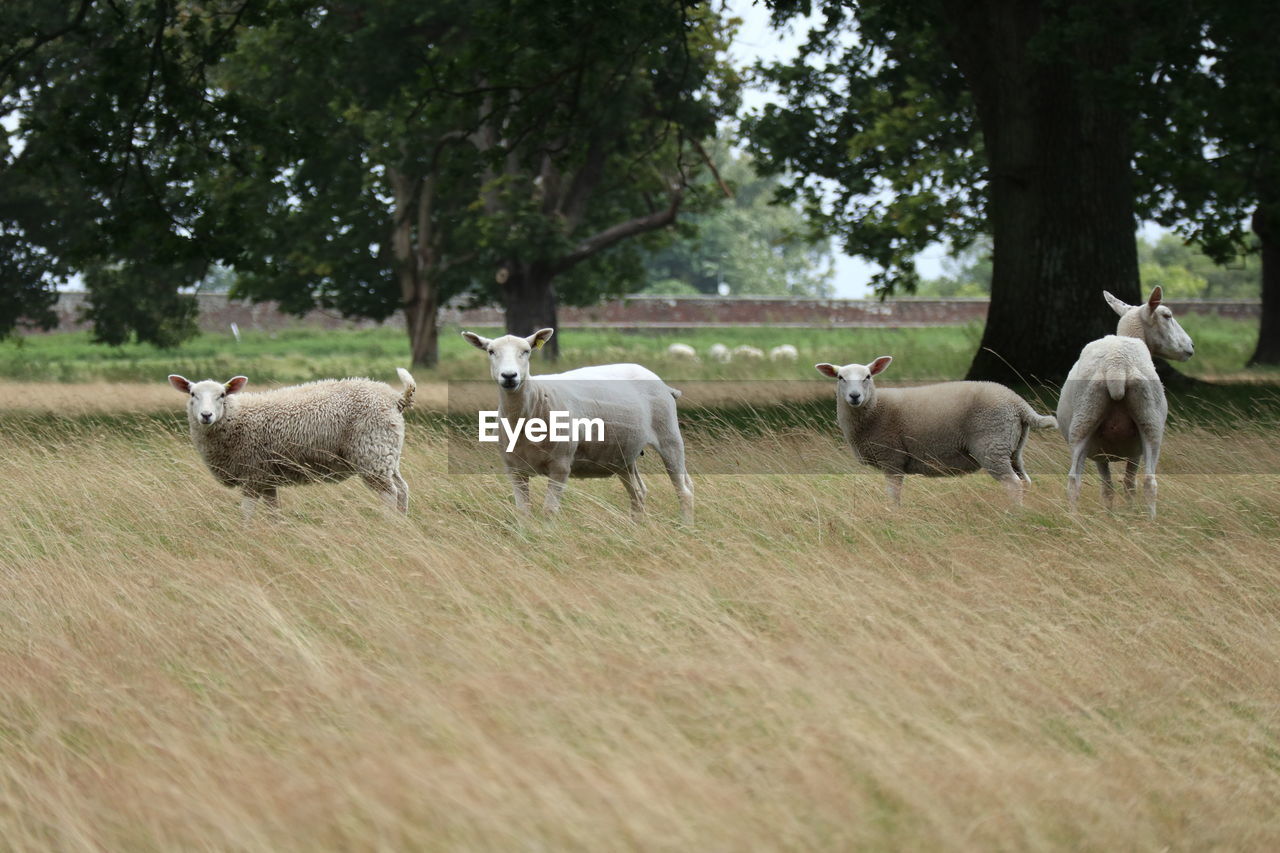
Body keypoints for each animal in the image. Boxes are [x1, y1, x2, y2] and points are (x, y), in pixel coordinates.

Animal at [166, 366, 414, 514]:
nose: (206, 415)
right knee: (402, 489)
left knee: (390, 494)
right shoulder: (267, 478)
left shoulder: (253, 473)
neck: (236, 418)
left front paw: (245, 536)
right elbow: (273, 512)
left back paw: (387, 523)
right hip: (387, 453)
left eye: (222, 395)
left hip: (372, 453)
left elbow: (247, 511)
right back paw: (401, 524)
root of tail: (395, 398)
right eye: (192, 394)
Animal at [465, 327, 696, 522]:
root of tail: (662, 384)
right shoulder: (514, 468)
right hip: (623, 454)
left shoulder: (561, 464)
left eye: (527, 351)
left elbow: (549, 510)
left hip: (668, 435)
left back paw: (686, 526)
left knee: (684, 490)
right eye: (491, 351)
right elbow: (523, 511)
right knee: (638, 493)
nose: (509, 376)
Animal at [814, 353, 1054, 502]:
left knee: (1013, 484)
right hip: (1012, 447)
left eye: (868, 376)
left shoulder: (892, 457)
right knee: (1025, 481)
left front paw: (894, 517)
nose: (855, 396)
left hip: (992, 443)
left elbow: (893, 494)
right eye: (840, 377)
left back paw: (1012, 516)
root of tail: (1018, 404)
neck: (875, 408)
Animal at [1054, 285, 1192, 514]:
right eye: (1167, 315)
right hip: (1150, 422)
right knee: (1149, 482)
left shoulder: (1099, 449)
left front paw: (1111, 515)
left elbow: (1108, 488)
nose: (1191, 346)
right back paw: (1149, 520)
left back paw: (1073, 518)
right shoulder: (1131, 451)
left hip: (1084, 421)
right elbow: (1127, 484)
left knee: (1074, 481)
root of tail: (1117, 365)